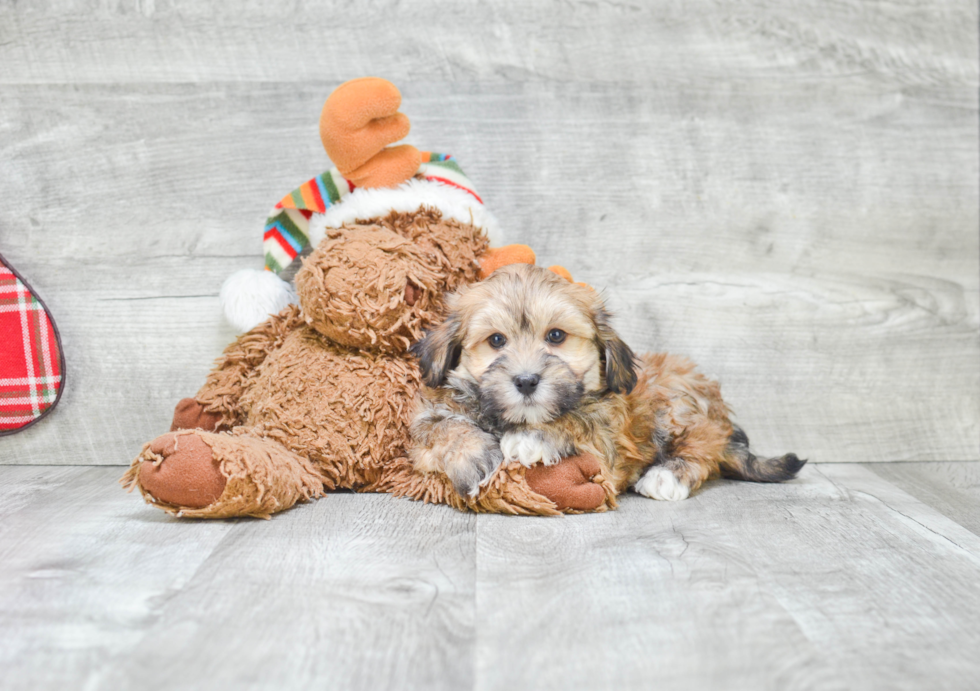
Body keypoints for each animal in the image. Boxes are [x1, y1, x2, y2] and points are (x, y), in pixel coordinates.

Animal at [408, 264, 804, 502]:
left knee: (702, 450)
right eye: (496, 341)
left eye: (556, 336)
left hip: (677, 407)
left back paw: (667, 476)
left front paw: (531, 437)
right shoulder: (427, 419)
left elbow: (579, 420)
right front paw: (473, 457)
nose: (526, 381)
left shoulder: (608, 444)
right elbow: (440, 428)